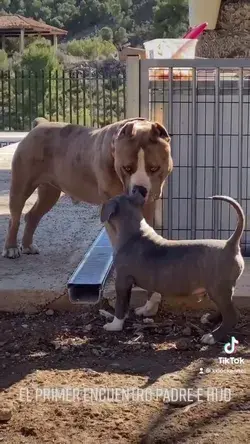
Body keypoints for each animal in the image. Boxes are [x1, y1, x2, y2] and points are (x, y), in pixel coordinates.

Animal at [1, 116, 173, 260]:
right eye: (127, 168)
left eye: (154, 168)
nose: (140, 189)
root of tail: (40, 124)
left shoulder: (148, 204)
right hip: (21, 187)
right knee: (14, 218)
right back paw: (11, 248)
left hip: (49, 193)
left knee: (32, 215)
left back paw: (28, 246)